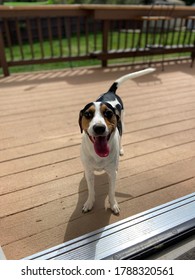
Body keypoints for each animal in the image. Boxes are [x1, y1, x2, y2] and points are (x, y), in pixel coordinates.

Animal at [78, 68, 155, 214]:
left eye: (108, 113)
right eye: (88, 114)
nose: (99, 128)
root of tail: (110, 92)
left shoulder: (112, 174)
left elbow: (111, 191)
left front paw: (113, 204)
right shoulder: (89, 173)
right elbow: (91, 190)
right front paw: (89, 203)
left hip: (122, 123)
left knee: (121, 136)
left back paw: (121, 149)